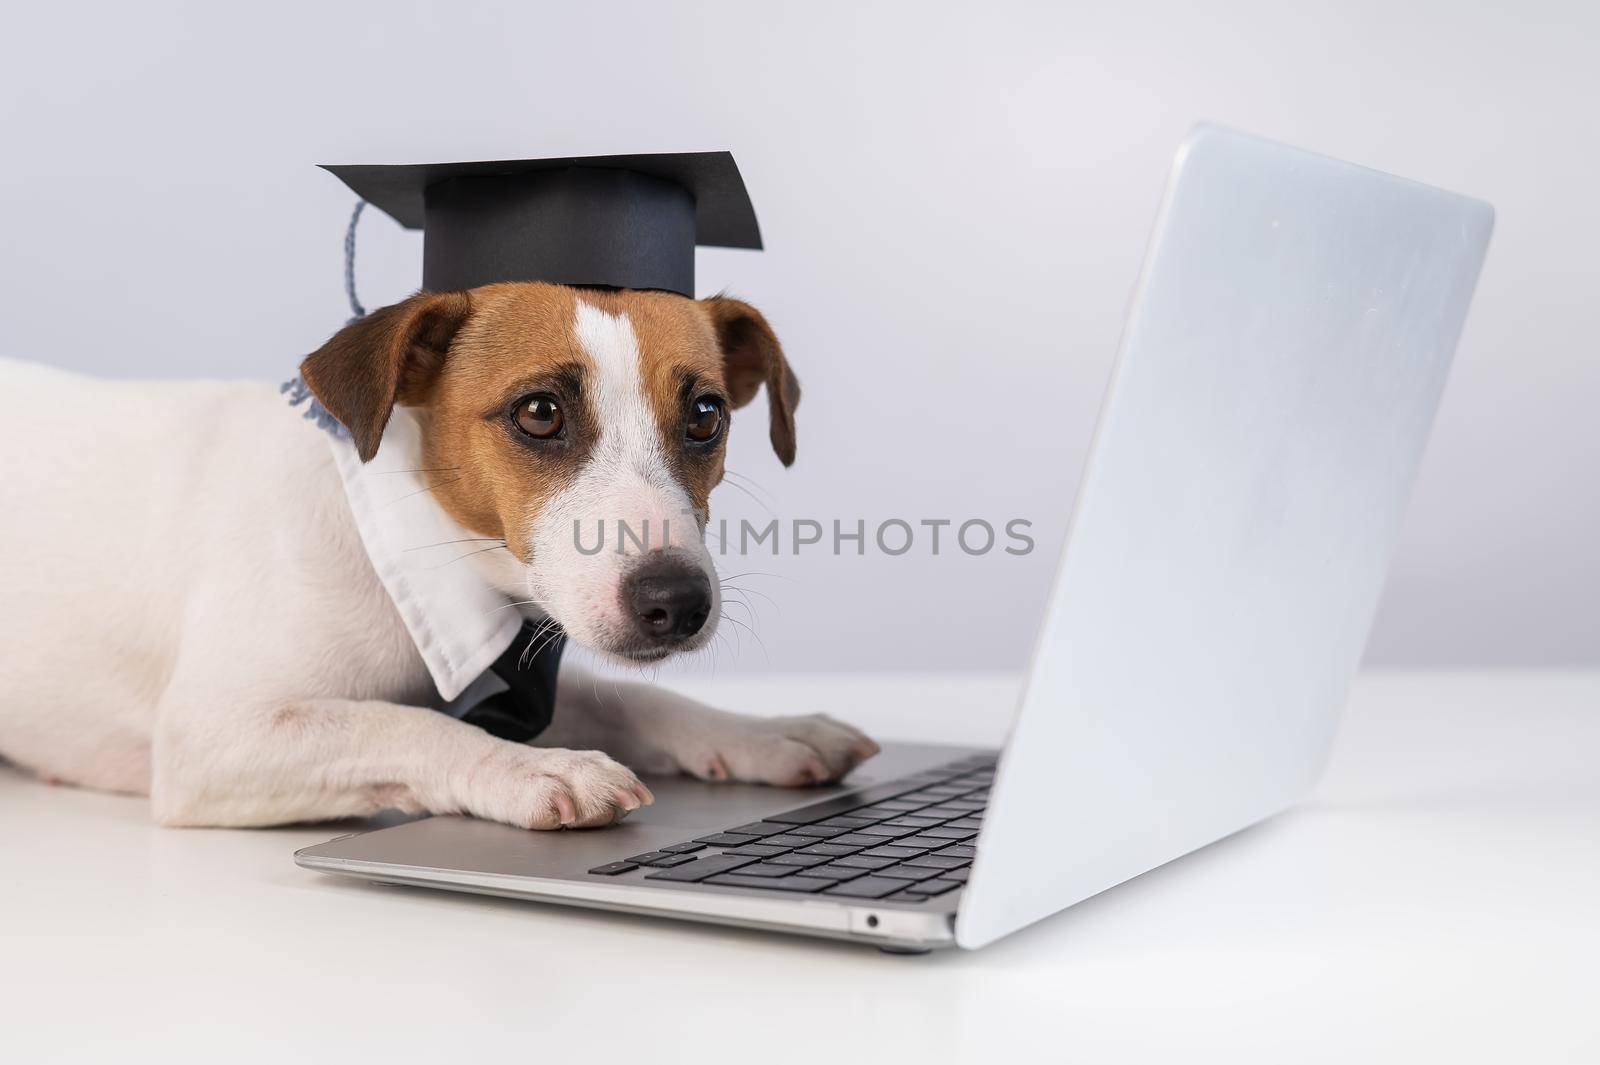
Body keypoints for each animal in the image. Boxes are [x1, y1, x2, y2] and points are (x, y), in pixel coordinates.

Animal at [0, 284, 876, 831]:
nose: (677, 601)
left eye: (706, 415)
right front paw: (532, 770)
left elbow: (636, 699)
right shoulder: (212, 735)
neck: (405, 541)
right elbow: (401, 724)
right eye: (539, 412)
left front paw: (769, 732)